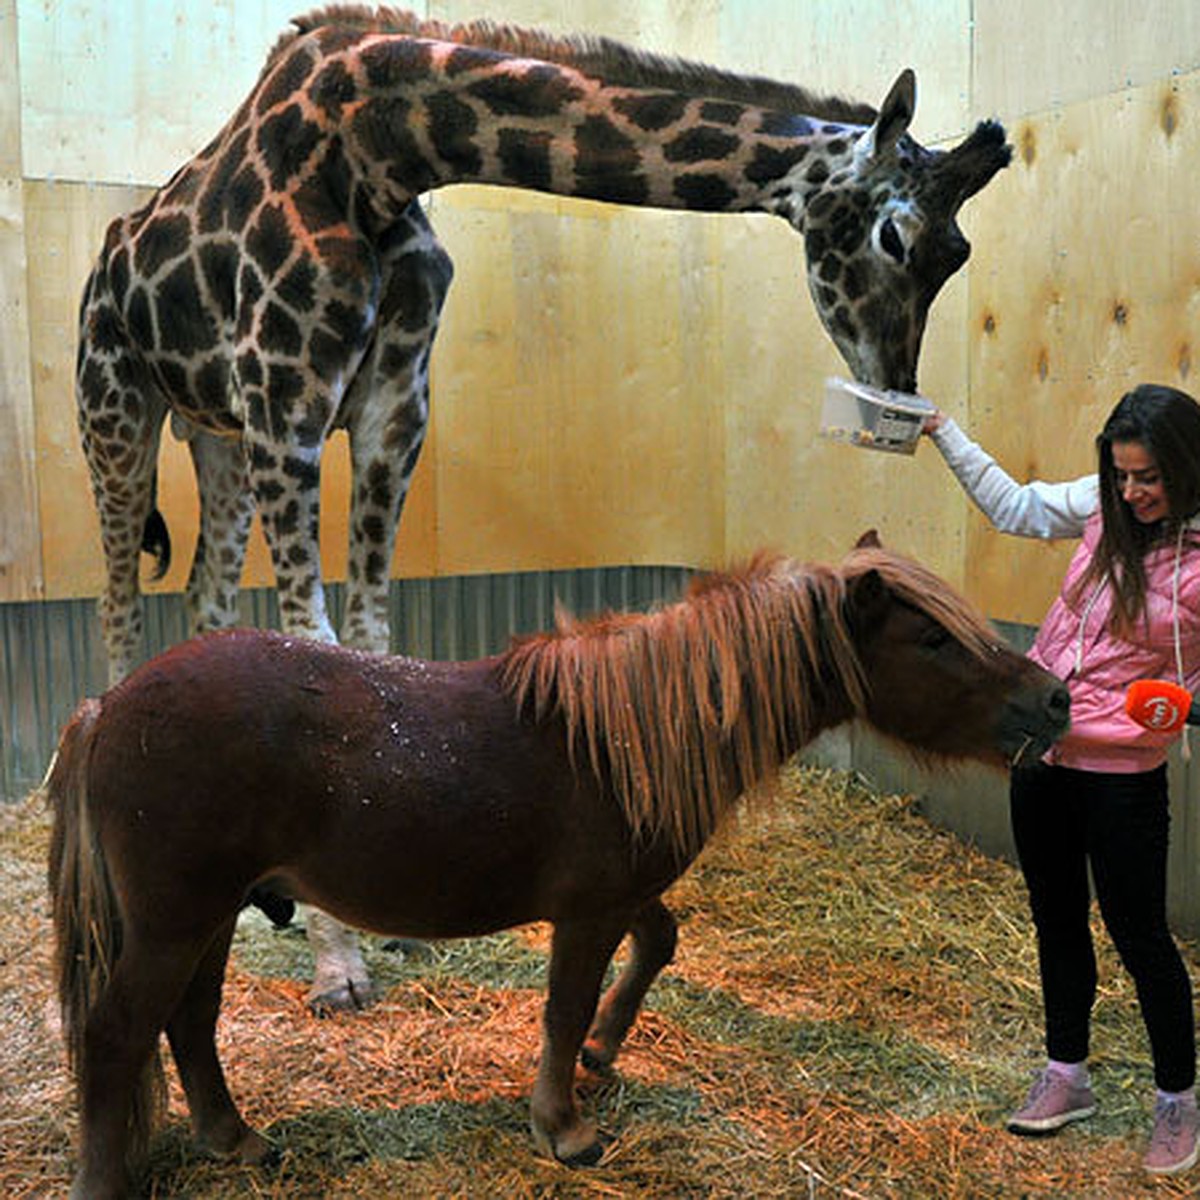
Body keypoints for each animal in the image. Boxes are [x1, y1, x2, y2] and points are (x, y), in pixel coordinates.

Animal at [44, 540, 1070, 1195]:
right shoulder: (588, 910)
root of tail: (107, 703)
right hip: (177, 922)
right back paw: (109, 1180)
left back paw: (236, 1140)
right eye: (931, 639)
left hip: (211, 917)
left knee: (189, 1023)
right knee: (116, 1034)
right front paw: (566, 1125)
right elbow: (566, 1003)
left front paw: (603, 1057)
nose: (1054, 700)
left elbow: (658, 944)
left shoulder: (626, 895)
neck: (629, 732)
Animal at [75, 7, 1012, 1012]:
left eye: (959, 254)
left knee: (203, 593)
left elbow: (370, 634)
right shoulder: (287, 400)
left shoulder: (393, 409)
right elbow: (316, 642)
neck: (378, 153)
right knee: (117, 600)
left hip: (212, 431)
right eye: (894, 238)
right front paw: (339, 967)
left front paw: (375, 919)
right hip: (120, 411)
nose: (896, 394)